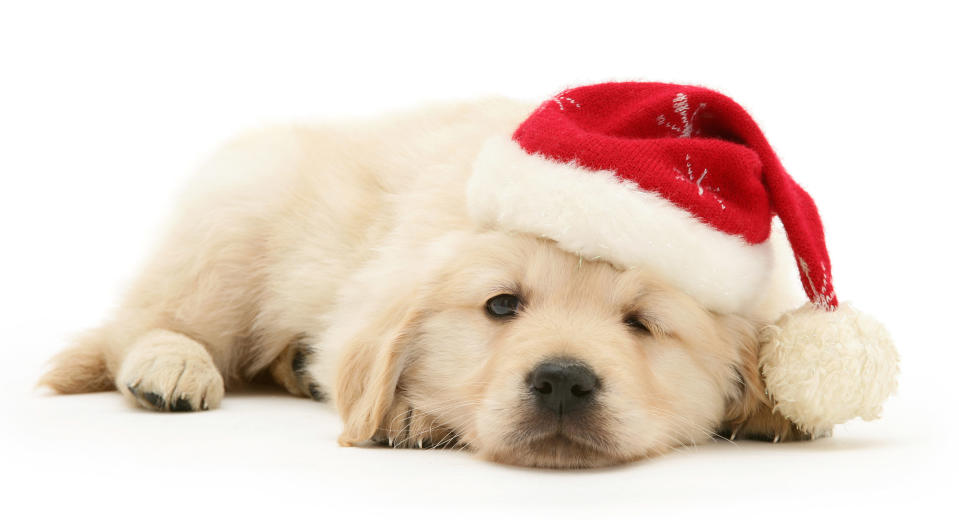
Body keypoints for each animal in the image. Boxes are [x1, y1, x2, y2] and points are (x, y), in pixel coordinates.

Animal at [43, 95, 808, 470]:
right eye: (502, 304)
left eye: (642, 324)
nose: (562, 381)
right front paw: (414, 413)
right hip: (232, 227)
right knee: (141, 323)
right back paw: (170, 364)